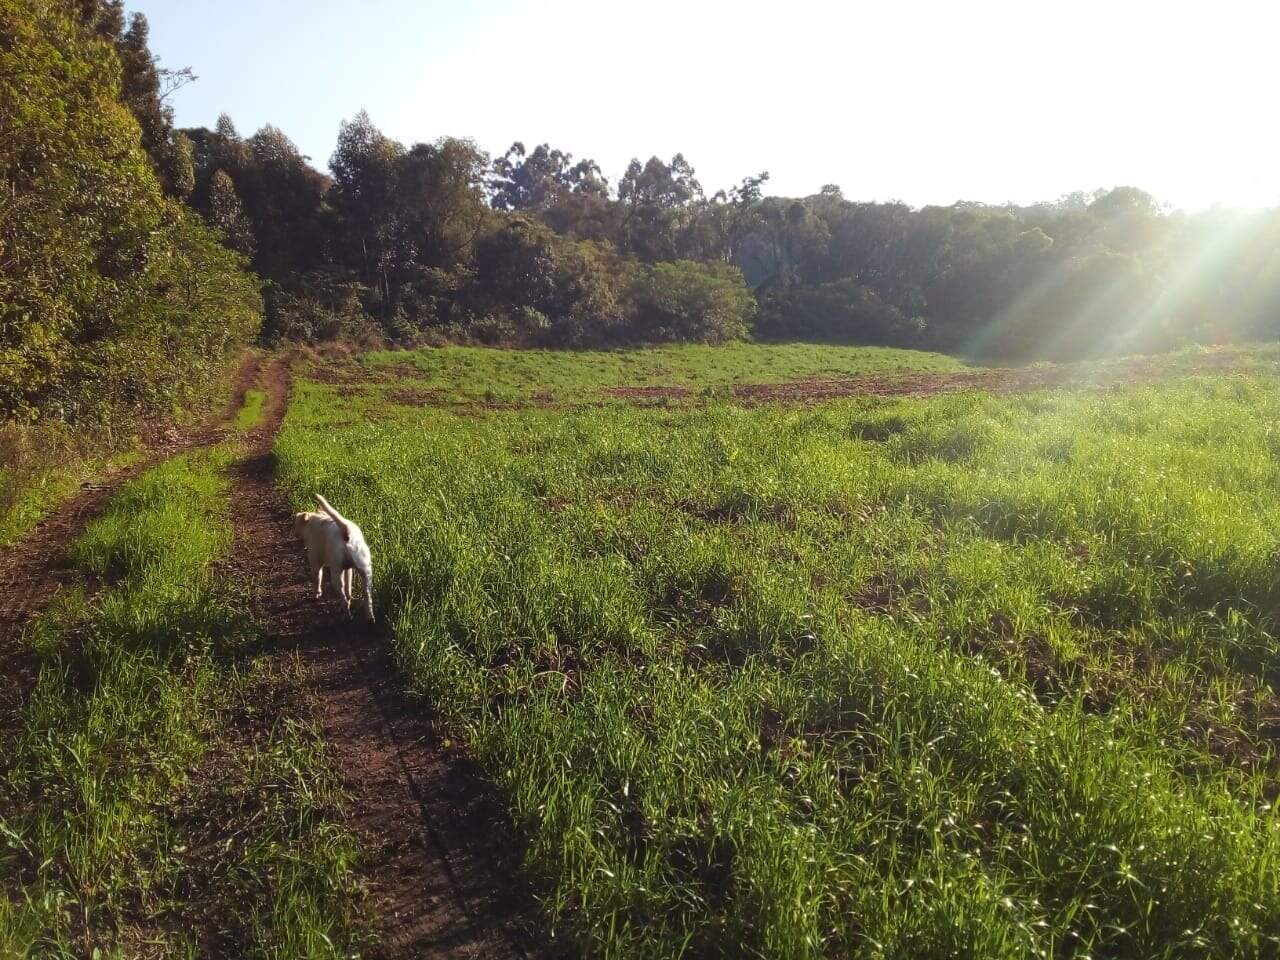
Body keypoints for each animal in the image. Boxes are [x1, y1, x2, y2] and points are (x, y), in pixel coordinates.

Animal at [296, 496, 376, 624]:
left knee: (343, 597)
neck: (316, 519)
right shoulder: (348, 570)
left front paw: (316, 595)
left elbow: (317, 579)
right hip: (366, 573)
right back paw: (369, 617)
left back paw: (346, 616)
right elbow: (349, 591)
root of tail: (346, 531)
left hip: (335, 576)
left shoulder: (315, 562)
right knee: (364, 596)